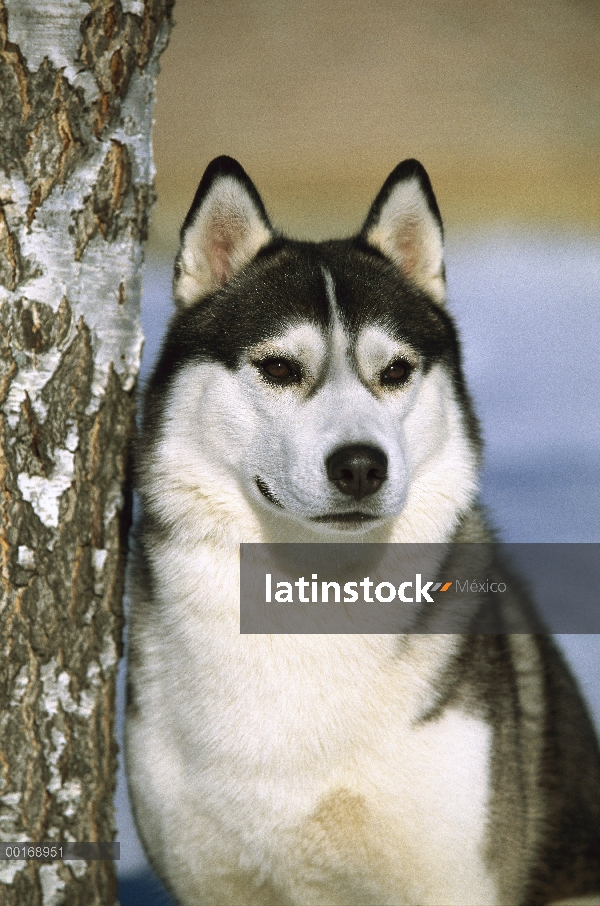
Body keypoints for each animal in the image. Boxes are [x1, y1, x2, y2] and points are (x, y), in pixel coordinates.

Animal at [127, 159, 600, 900]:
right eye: (279, 367)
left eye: (396, 371)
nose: (359, 466)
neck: (314, 595)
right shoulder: (210, 876)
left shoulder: (454, 877)